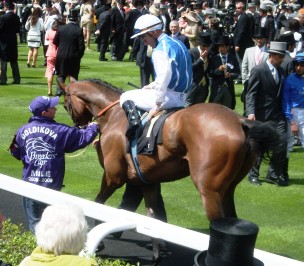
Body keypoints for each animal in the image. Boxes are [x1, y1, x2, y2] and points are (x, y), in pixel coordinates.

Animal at [57, 77, 278, 256]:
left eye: (66, 103)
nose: (78, 125)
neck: (114, 115)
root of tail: (240, 121)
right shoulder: (147, 182)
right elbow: (153, 217)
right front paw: (157, 252)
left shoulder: (113, 176)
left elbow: (99, 203)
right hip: (228, 190)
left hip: (210, 191)